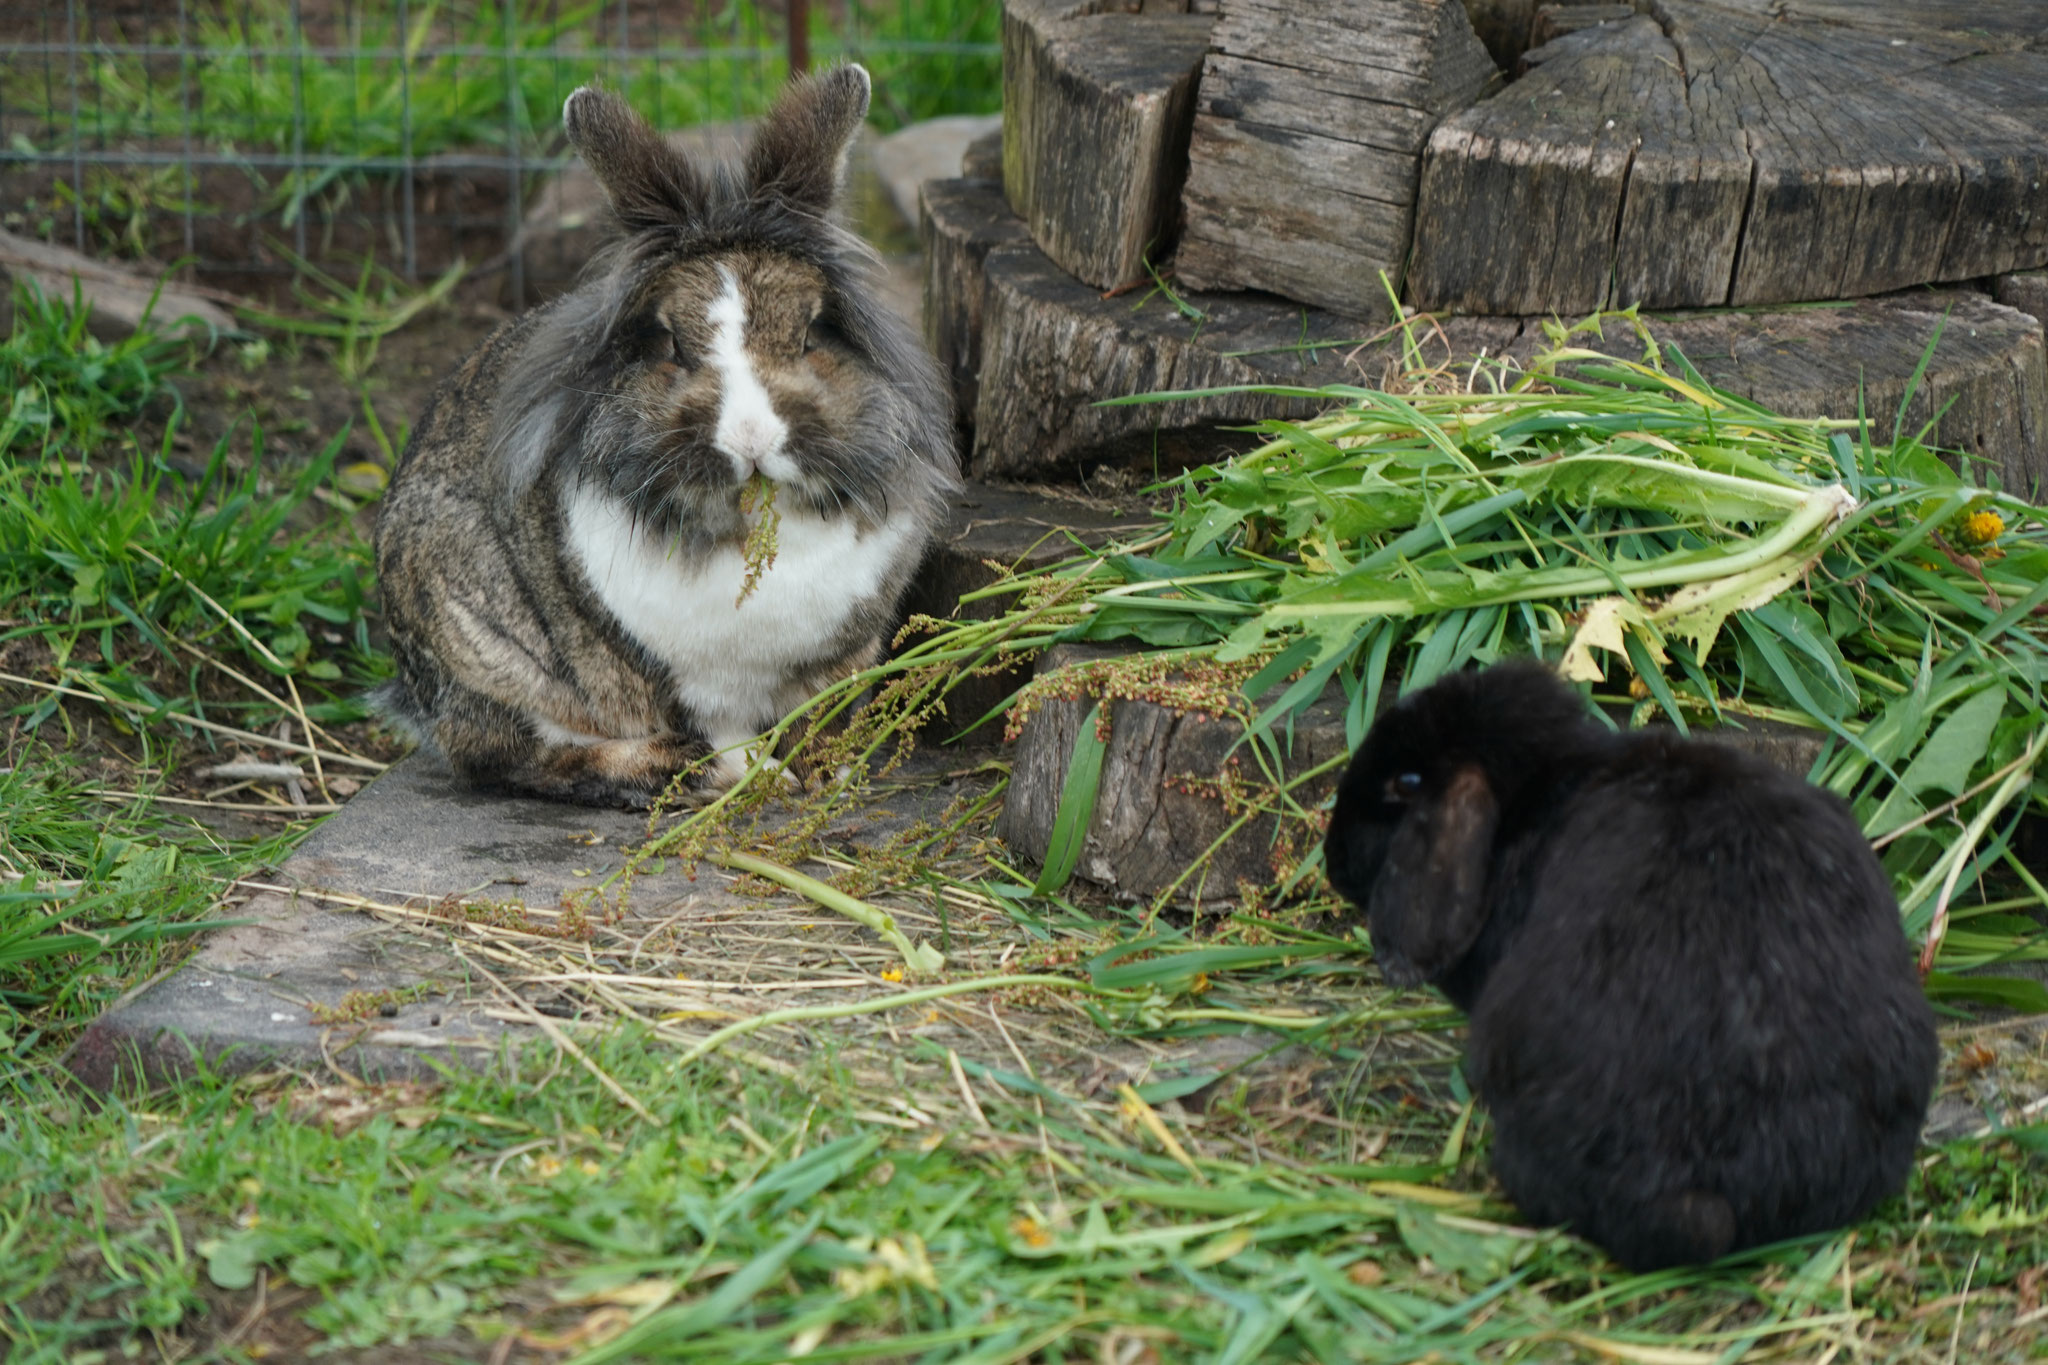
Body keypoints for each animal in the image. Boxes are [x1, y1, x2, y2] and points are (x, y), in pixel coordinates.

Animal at [372, 63, 954, 806]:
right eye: (668, 342)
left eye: (813, 331)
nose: (750, 437)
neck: (755, 521)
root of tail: (411, 692)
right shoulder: (692, 677)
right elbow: (720, 723)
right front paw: (754, 775)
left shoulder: (842, 657)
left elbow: (819, 715)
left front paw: (832, 771)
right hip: (487, 652)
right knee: (509, 757)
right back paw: (677, 769)